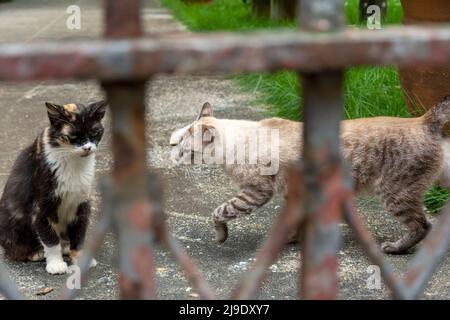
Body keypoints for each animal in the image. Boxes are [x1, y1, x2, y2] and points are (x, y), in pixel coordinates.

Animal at [0, 101, 106, 274]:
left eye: (94, 132)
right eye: (72, 136)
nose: (87, 148)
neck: (73, 161)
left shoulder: (82, 202)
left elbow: (79, 235)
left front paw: (80, 258)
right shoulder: (41, 206)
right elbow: (50, 238)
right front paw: (56, 264)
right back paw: (35, 253)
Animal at [170, 98, 450, 255]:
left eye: (180, 145)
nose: (169, 147)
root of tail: (423, 120)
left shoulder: (255, 193)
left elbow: (219, 212)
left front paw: (221, 236)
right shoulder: (293, 193)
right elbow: (294, 221)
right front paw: (292, 239)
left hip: (394, 194)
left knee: (423, 226)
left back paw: (395, 248)